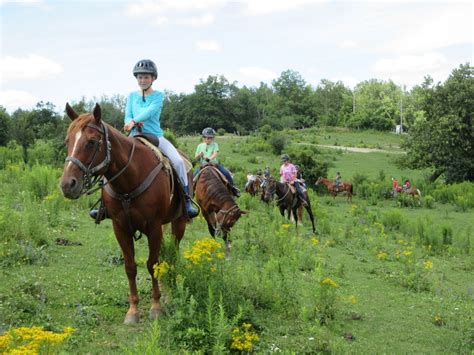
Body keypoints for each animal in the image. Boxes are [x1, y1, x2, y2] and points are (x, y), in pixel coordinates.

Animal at [59, 103, 191, 326]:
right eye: (68, 141)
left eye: (92, 142)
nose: (68, 185)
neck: (130, 179)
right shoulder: (120, 228)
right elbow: (130, 266)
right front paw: (133, 310)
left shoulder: (154, 228)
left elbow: (152, 264)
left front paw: (156, 306)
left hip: (178, 222)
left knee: (173, 253)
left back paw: (170, 289)